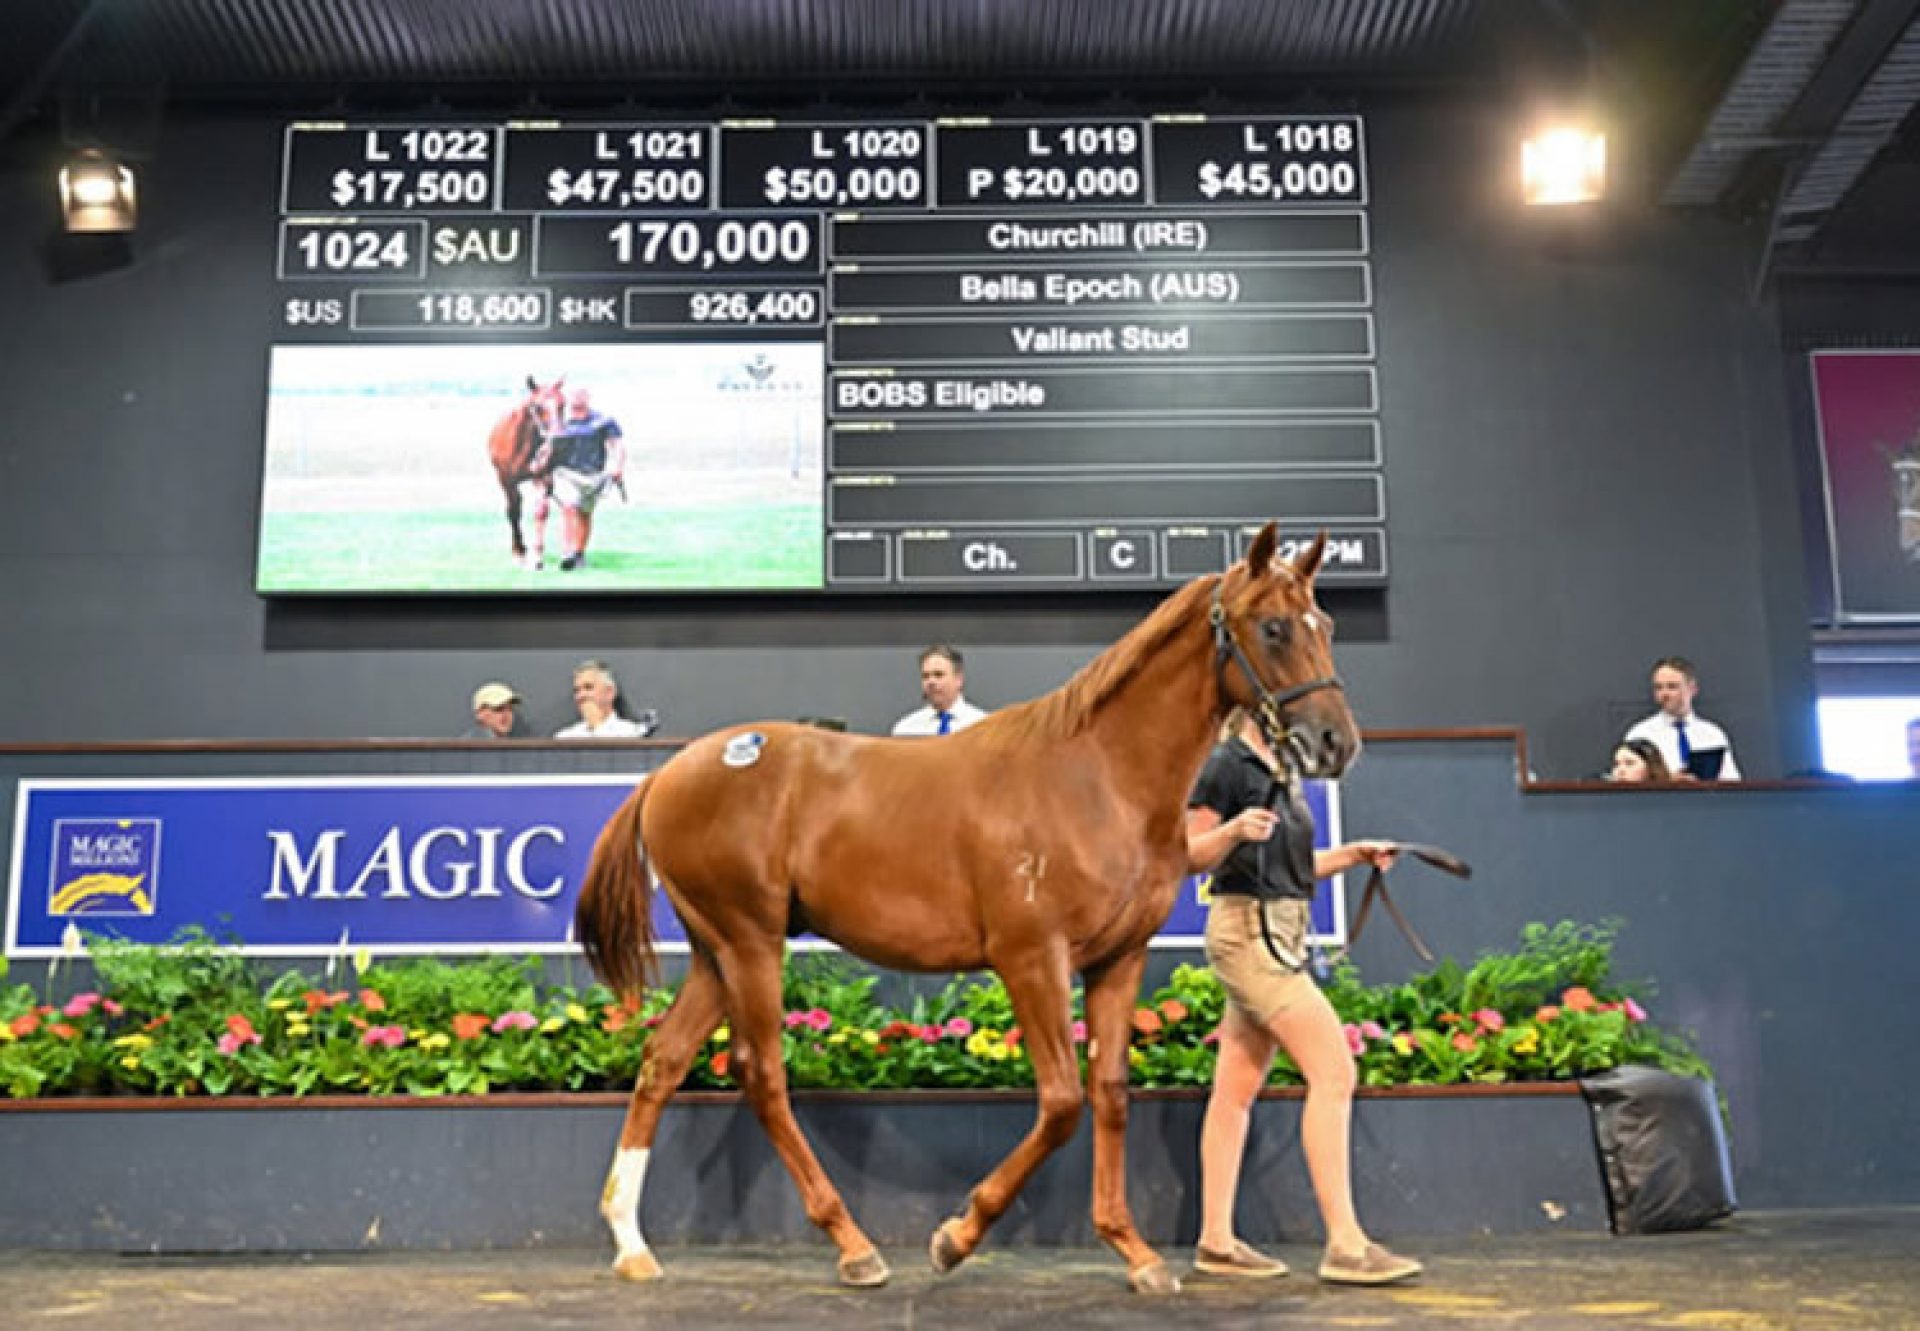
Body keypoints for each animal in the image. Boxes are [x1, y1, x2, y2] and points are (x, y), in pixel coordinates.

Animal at [483, 374, 564, 564]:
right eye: (538, 406)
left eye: (562, 404)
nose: (559, 440)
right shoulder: (506, 480)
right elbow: (513, 510)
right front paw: (519, 551)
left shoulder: (542, 476)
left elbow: (541, 511)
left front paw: (538, 554)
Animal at [576, 526, 1359, 1290]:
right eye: (1274, 627)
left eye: (1325, 623)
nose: (1336, 743)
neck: (1096, 777)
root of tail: (668, 773)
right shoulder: (1031, 957)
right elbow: (1061, 1101)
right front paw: (956, 1236)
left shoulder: (1118, 958)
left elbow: (1108, 1092)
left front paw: (1133, 1250)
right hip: (750, 944)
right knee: (761, 1074)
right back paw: (853, 1246)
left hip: (716, 953)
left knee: (662, 1061)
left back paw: (632, 1243)